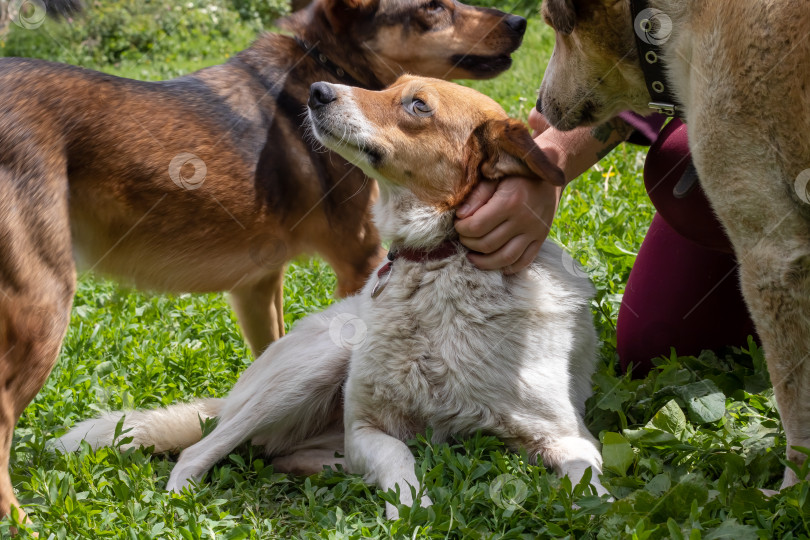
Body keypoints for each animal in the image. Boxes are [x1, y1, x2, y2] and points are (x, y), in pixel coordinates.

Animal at [56, 76, 608, 520]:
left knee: (278, 456)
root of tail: (231, 400)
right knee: (198, 453)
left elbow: (591, 486)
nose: (317, 91)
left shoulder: (568, 436)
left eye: (417, 105)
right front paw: (413, 509)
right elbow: (402, 459)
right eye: (390, 84)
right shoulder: (365, 428)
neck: (440, 262)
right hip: (310, 369)